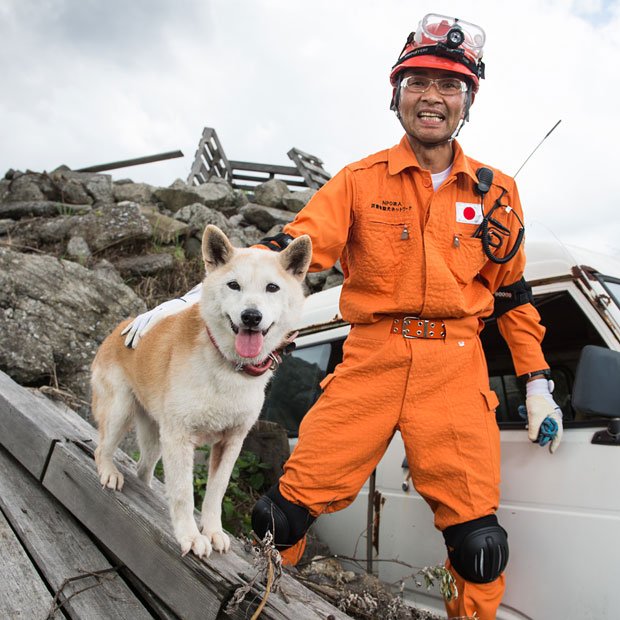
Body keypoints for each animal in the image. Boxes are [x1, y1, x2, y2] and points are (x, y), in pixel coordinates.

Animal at [91, 225, 310, 560]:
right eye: (234, 285)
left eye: (272, 288)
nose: (251, 316)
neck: (230, 368)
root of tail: (118, 328)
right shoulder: (180, 437)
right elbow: (183, 494)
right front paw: (190, 536)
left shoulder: (231, 442)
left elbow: (215, 493)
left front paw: (213, 531)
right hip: (121, 412)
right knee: (101, 448)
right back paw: (109, 472)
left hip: (155, 437)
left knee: (143, 468)